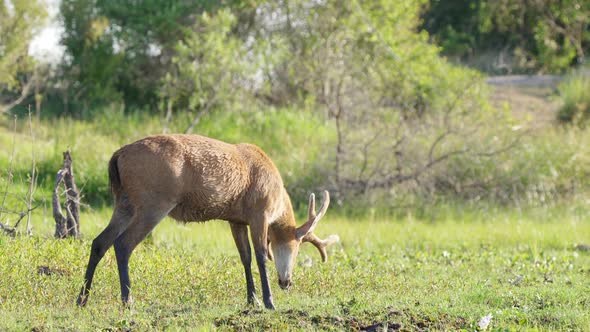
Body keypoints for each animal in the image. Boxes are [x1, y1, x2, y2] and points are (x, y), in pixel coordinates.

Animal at [76, 134, 340, 310]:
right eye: (296, 249)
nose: (286, 282)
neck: (278, 203)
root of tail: (116, 157)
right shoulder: (259, 213)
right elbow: (260, 256)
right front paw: (268, 301)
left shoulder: (236, 220)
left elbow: (244, 257)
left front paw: (252, 299)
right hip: (153, 202)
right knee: (123, 243)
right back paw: (127, 300)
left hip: (124, 202)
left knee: (99, 241)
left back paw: (82, 298)